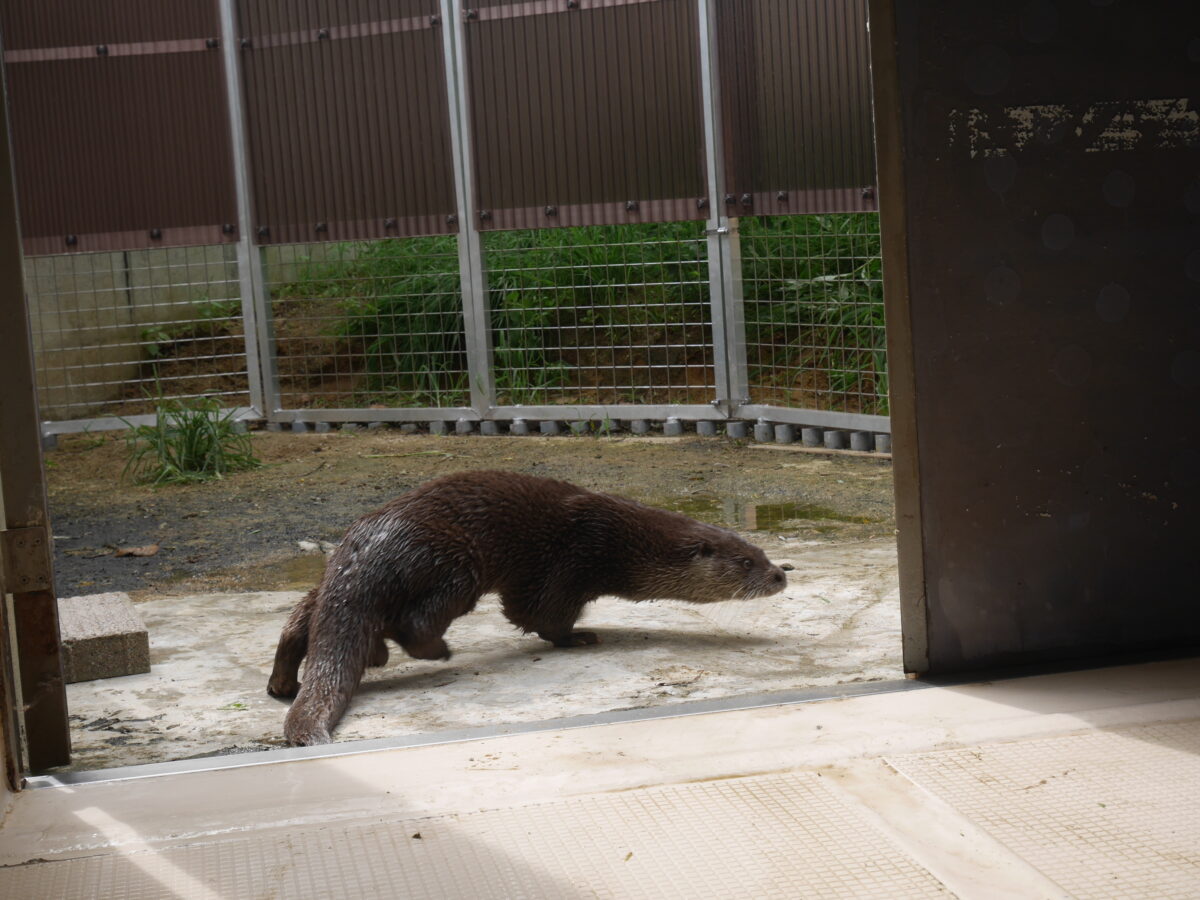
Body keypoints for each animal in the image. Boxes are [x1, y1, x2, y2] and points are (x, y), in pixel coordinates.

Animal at [274, 472, 787, 748]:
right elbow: (541, 616)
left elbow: (524, 611)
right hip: (454, 563)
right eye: (746, 562)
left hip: (335, 582)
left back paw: (285, 683)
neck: (625, 545)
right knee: (414, 622)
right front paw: (578, 637)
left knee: (301, 620)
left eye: (764, 553)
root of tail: (367, 546)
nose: (781, 575)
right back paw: (432, 652)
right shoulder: (575, 558)